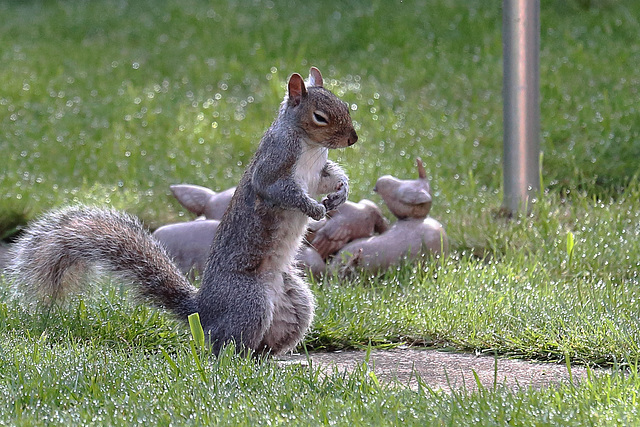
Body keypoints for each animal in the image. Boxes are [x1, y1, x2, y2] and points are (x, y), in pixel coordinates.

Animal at [2, 66, 358, 354]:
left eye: (344, 105)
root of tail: (202, 311)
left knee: (264, 342)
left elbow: (331, 177)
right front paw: (313, 208)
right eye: (320, 116)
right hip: (250, 301)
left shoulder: (318, 171)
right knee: (224, 346)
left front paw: (340, 194)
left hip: (295, 302)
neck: (309, 146)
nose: (353, 139)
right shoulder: (274, 167)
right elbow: (280, 191)